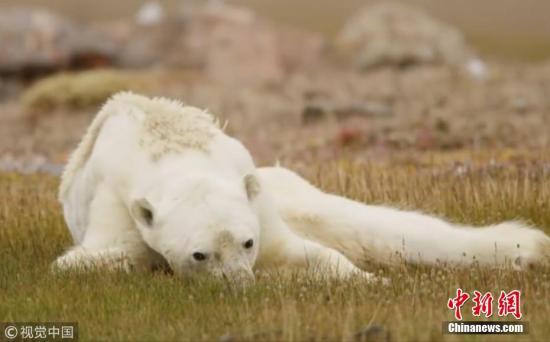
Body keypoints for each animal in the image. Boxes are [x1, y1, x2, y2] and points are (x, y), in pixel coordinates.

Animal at [56, 91, 550, 280]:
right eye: (201, 254)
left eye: (247, 242)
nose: (243, 283)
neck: (172, 150)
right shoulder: (117, 205)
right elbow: (86, 261)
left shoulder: (255, 202)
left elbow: (305, 251)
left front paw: (367, 281)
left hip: (287, 187)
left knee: (363, 224)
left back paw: (526, 248)